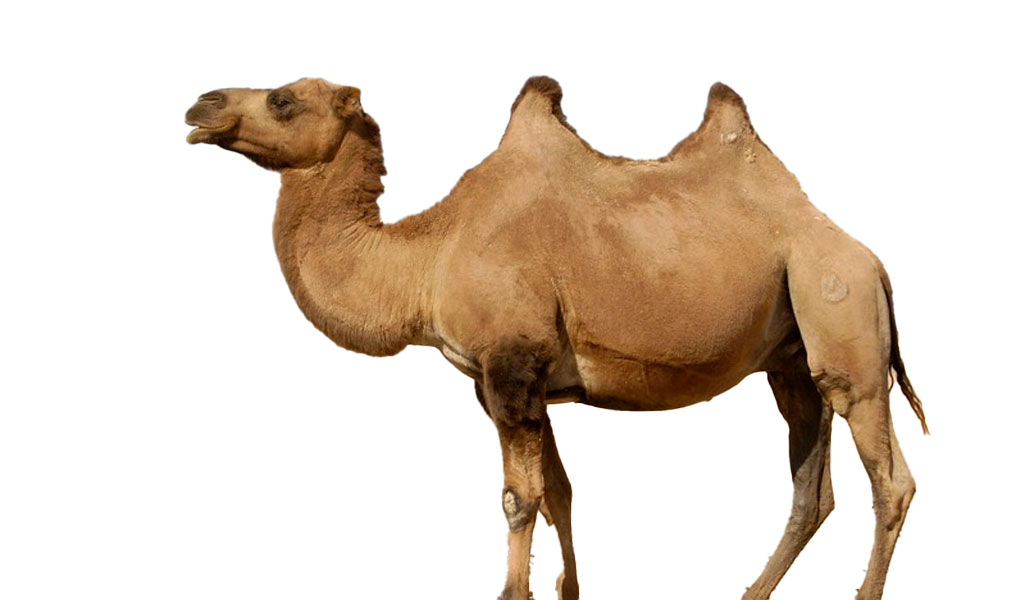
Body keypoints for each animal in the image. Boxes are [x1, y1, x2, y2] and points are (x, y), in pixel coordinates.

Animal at [183, 75, 930, 600]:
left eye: (282, 99)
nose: (199, 106)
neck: (427, 256)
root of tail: (870, 259)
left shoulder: (512, 363)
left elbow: (520, 499)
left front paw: (510, 594)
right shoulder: (507, 381)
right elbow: (559, 493)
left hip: (838, 307)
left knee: (889, 476)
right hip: (792, 352)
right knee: (811, 485)